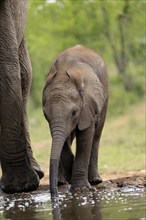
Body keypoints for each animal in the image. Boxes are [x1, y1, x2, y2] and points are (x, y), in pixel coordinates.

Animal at [42, 44, 108, 196]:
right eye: (45, 115)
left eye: (74, 113)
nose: (54, 194)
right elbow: (62, 140)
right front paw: (70, 177)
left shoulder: (87, 106)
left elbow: (85, 137)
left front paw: (80, 189)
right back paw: (61, 181)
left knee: (97, 135)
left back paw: (95, 180)